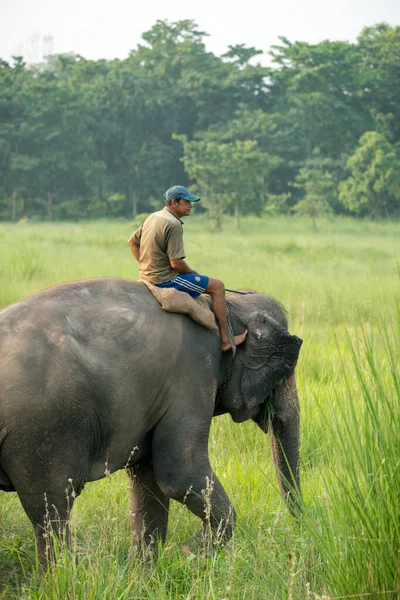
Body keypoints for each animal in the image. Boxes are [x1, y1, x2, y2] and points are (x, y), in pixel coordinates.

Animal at [0, 278, 300, 568]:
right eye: (284, 372)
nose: (299, 527)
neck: (229, 305)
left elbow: (149, 481)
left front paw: (146, 571)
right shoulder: (194, 377)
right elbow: (180, 475)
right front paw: (187, 554)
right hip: (41, 434)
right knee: (51, 510)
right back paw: (57, 578)